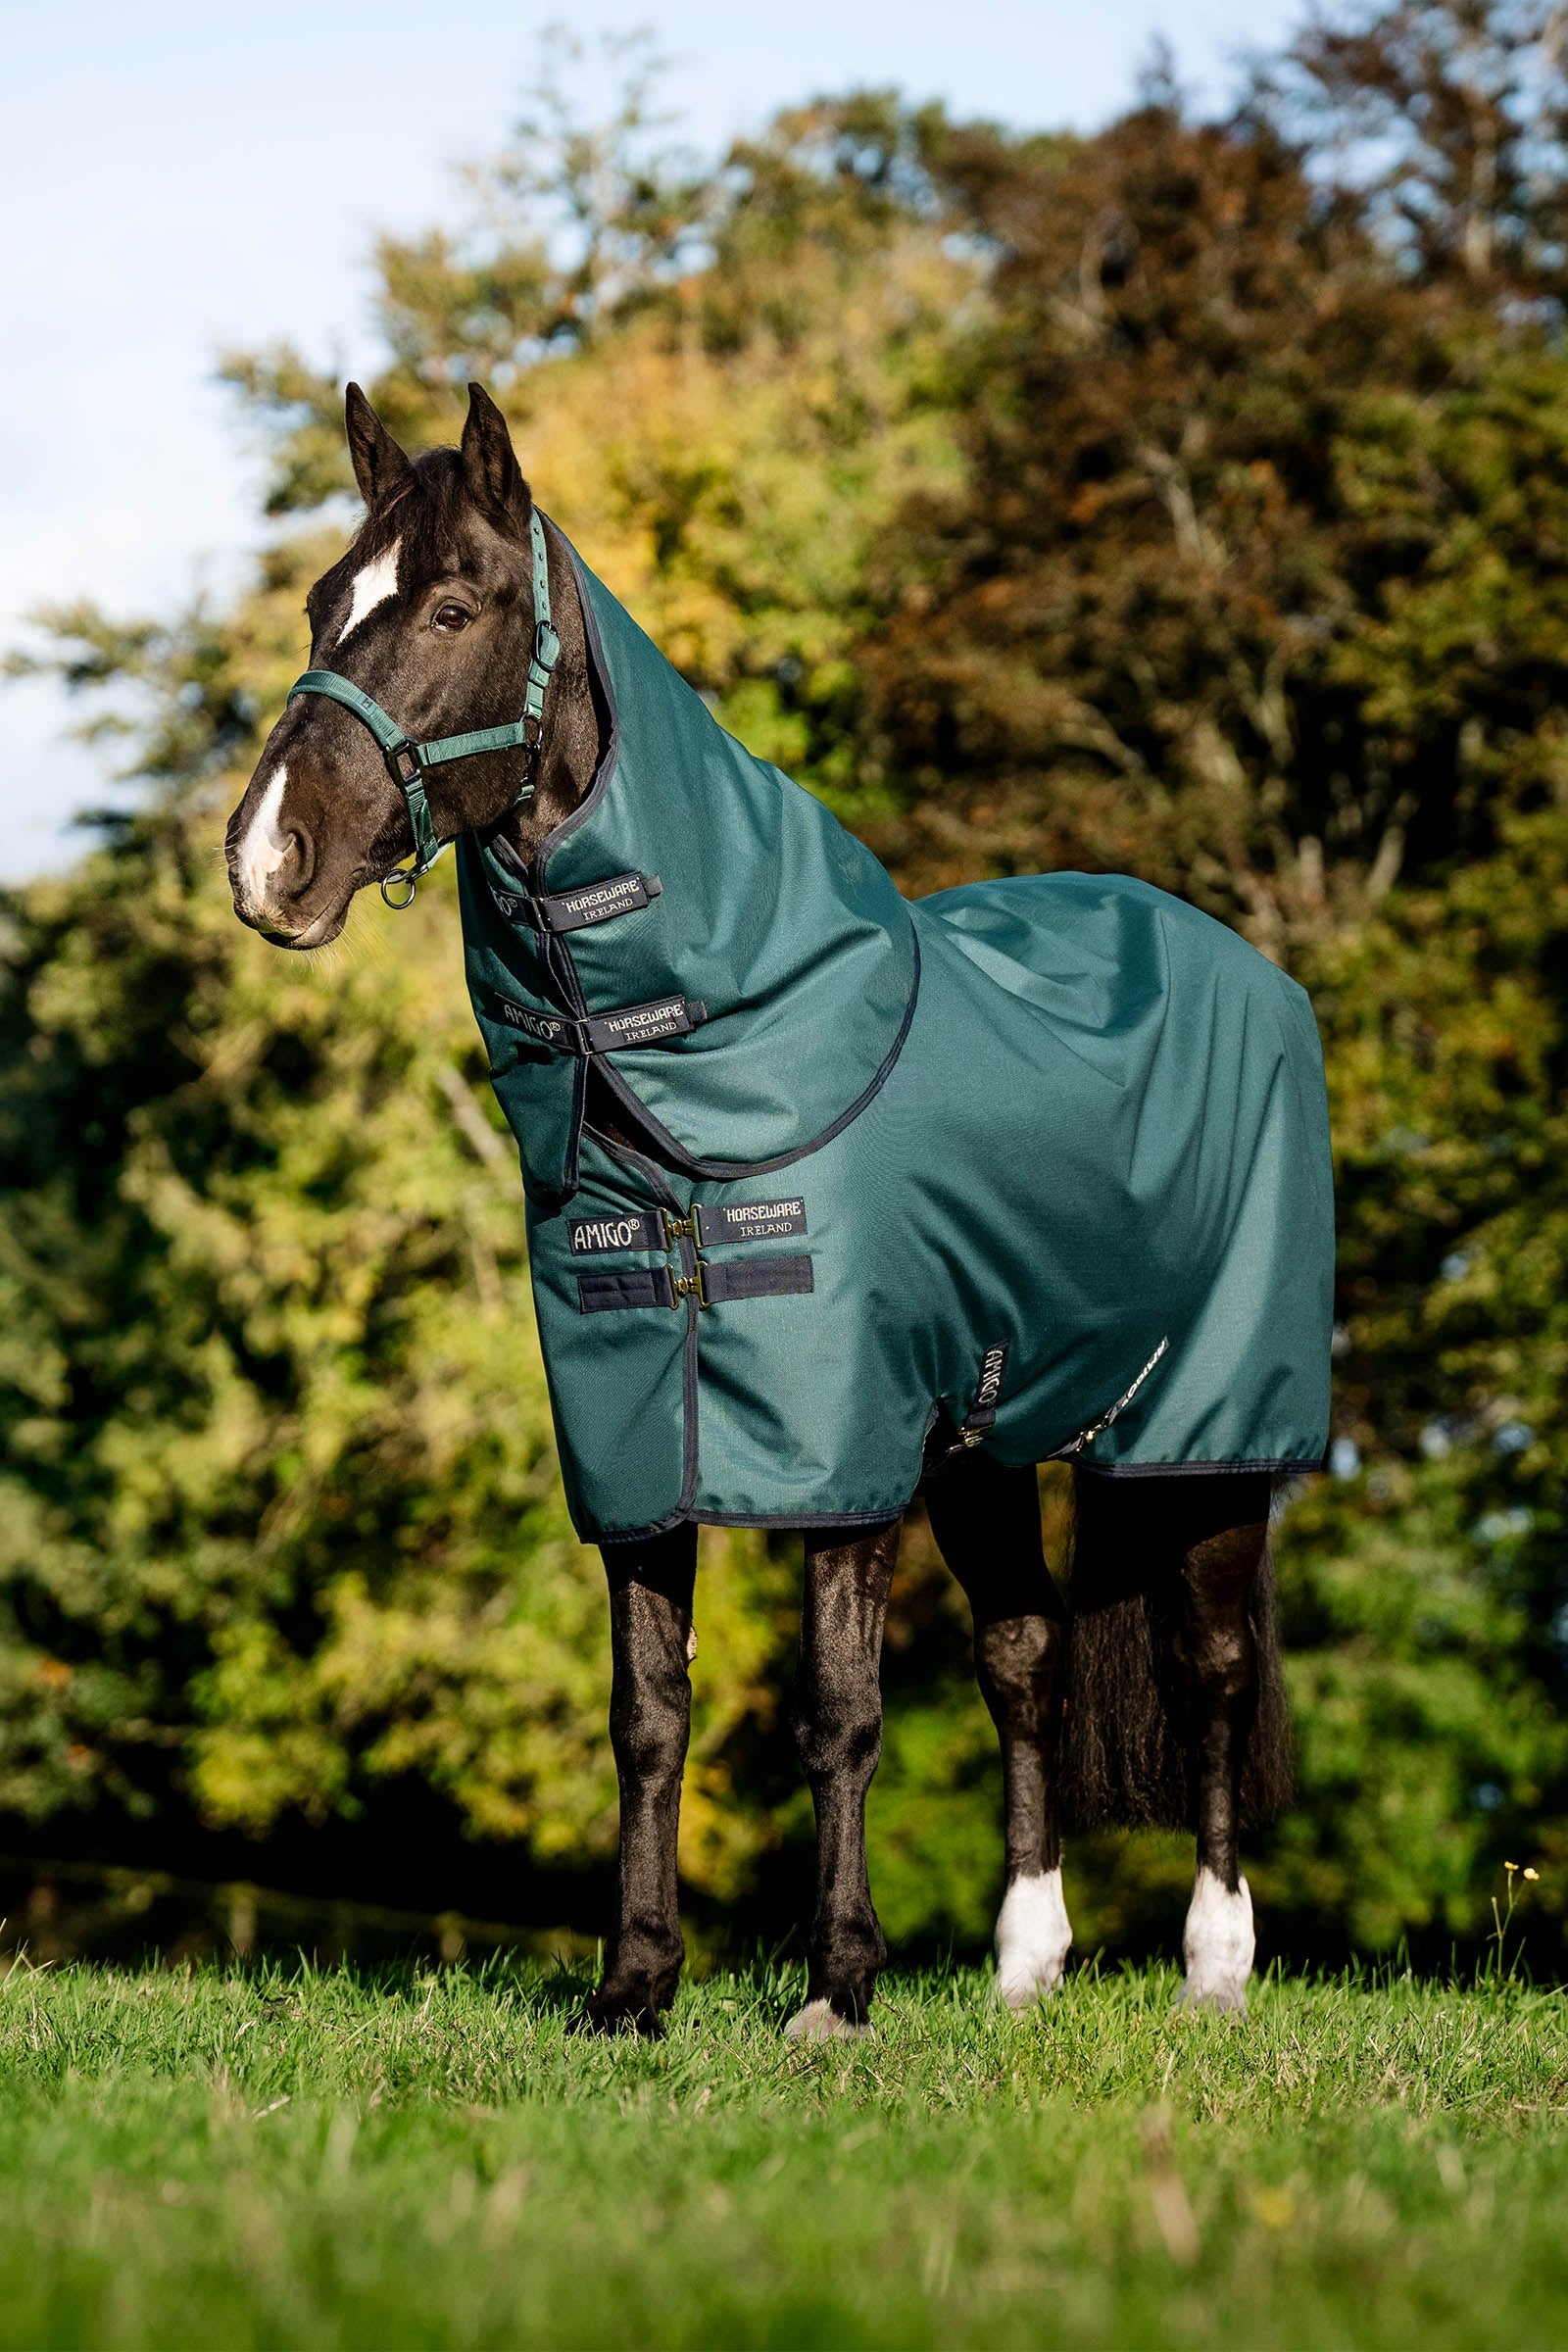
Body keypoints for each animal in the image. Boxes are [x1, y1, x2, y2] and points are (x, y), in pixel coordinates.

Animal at [224, 382, 1327, 2036]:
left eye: (453, 607)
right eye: (317, 606)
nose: (265, 860)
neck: (714, 1071)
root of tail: (1243, 965)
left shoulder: (842, 1461)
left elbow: (841, 1716)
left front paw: (837, 1990)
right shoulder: (639, 1452)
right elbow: (648, 1717)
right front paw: (632, 1989)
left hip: (1206, 1437)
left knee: (1206, 1668)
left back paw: (1214, 1968)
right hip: (988, 1445)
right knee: (1026, 1656)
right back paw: (1025, 1969)